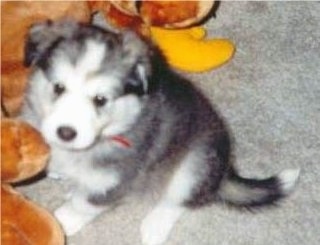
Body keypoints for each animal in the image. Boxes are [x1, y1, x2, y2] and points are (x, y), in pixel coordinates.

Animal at [20, 19, 300, 245]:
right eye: (58, 87)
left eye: (100, 100)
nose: (66, 133)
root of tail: (224, 172)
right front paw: (55, 170)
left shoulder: (117, 179)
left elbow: (85, 203)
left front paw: (63, 221)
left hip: (195, 164)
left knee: (179, 200)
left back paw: (154, 227)